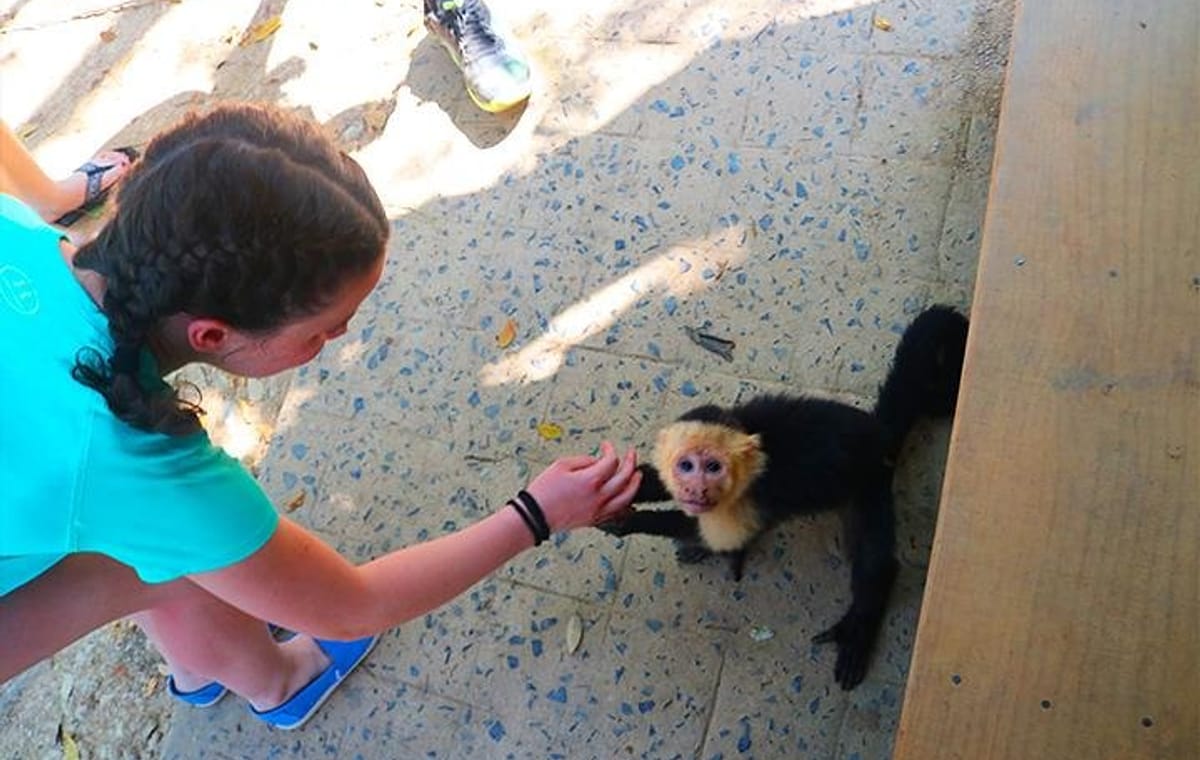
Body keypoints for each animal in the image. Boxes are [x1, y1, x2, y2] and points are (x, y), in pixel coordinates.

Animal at [599, 305, 969, 690]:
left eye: (713, 466)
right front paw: (614, 484)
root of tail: (878, 433)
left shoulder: (750, 493)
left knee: (873, 560)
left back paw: (860, 624)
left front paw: (630, 520)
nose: (694, 489)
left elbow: (714, 527)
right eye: (684, 465)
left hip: (869, 483)